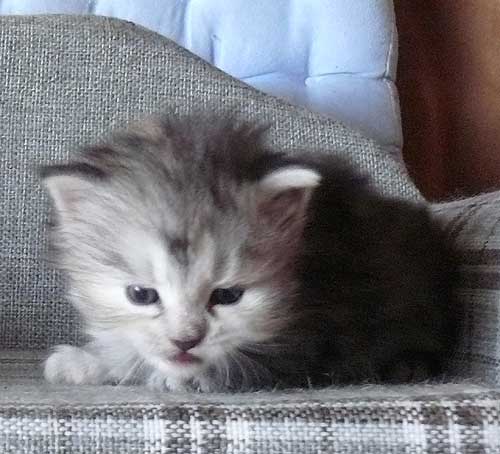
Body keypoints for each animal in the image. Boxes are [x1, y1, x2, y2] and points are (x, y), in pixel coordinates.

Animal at [41, 113, 457, 392]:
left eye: (227, 295)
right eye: (142, 295)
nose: (185, 341)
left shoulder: (309, 341)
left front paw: (175, 378)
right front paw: (88, 362)